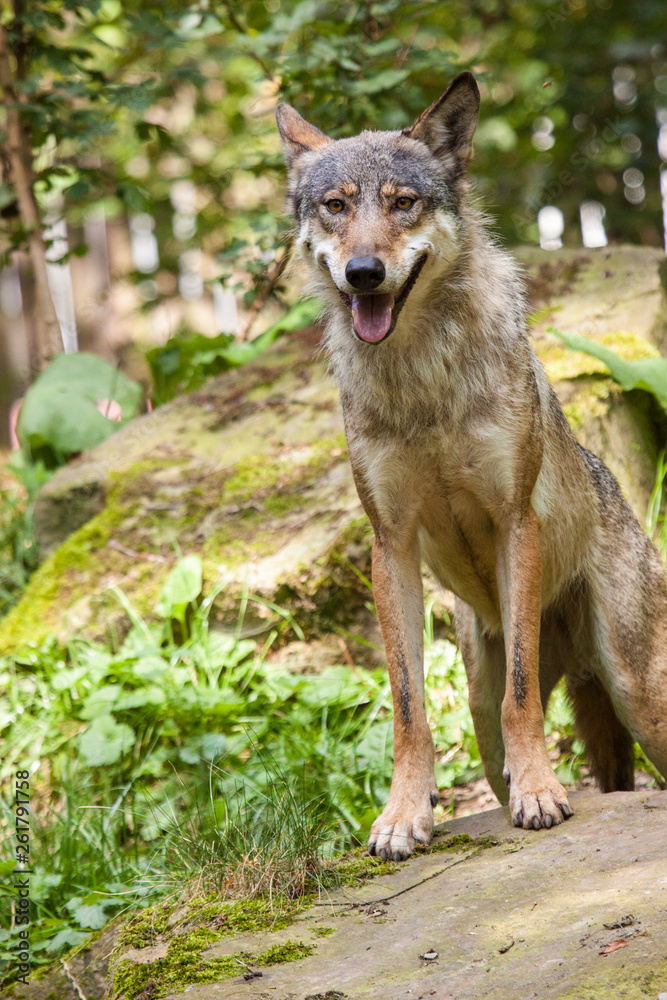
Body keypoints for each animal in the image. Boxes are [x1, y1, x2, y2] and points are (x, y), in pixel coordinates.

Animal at [276, 72, 667, 862]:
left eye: (403, 203)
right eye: (337, 207)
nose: (364, 273)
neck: (419, 376)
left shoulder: (514, 520)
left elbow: (522, 691)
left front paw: (541, 793)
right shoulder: (389, 545)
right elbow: (407, 707)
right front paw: (403, 814)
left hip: (642, 695)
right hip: (490, 716)